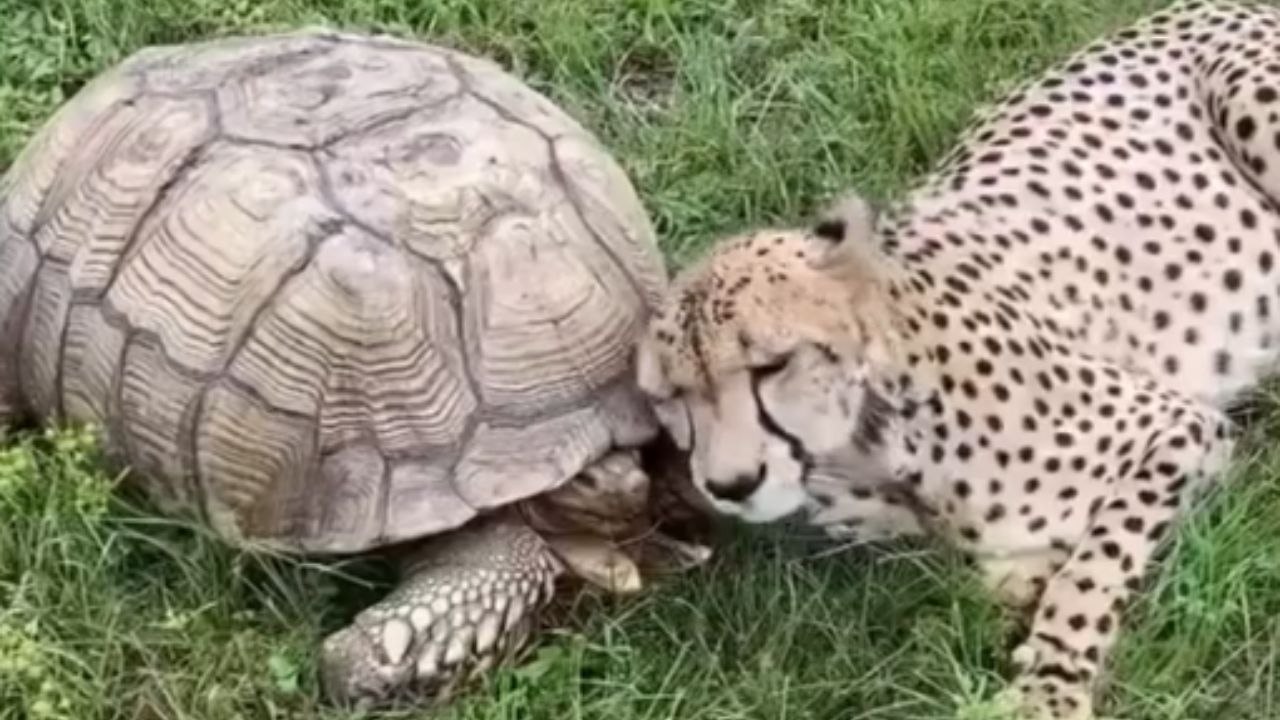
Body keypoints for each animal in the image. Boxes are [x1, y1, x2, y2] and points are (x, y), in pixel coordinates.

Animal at [634, 1, 1280, 718]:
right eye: (673, 399)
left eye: (772, 365)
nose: (730, 484)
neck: (871, 446)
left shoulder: (1177, 425)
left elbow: (1094, 565)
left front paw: (1051, 686)